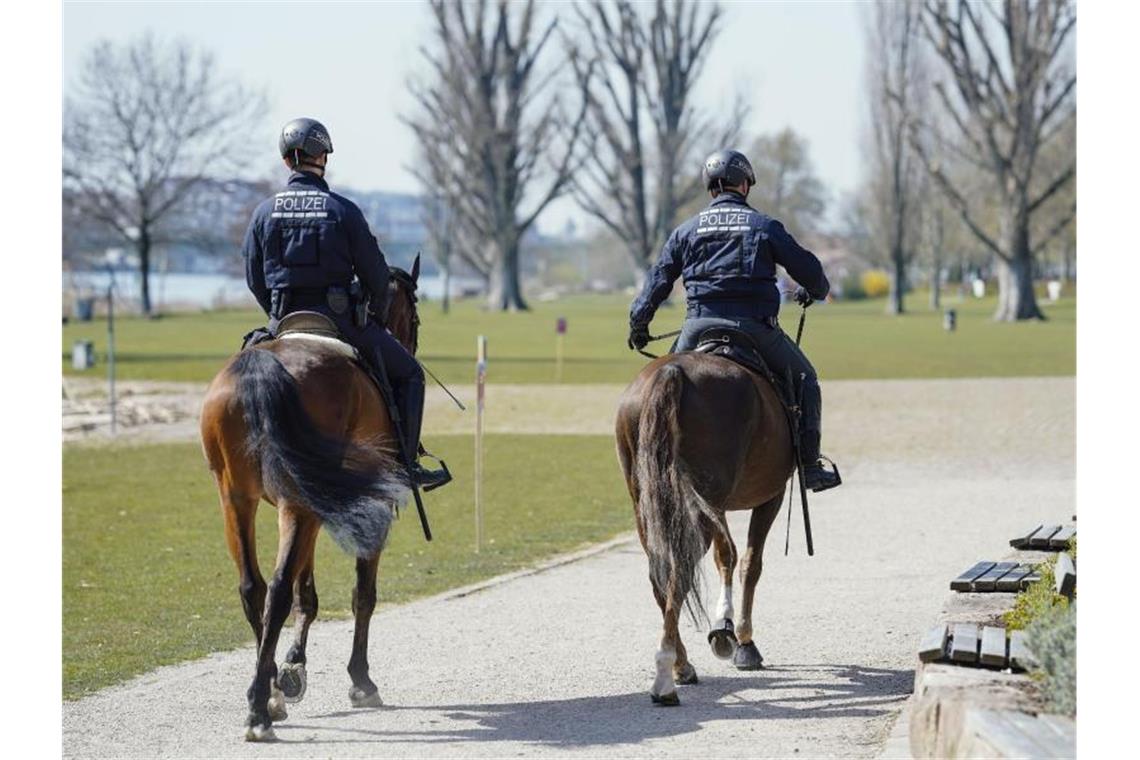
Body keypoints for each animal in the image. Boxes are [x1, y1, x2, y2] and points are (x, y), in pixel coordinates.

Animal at [200, 267, 424, 742]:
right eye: (414, 320)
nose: (410, 341)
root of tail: (260, 371)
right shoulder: (366, 507)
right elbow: (362, 594)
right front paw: (360, 680)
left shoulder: (312, 508)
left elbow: (308, 593)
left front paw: (291, 670)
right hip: (296, 505)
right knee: (278, 589)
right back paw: (260, 708)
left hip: (238, 499)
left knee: (255, 588)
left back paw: (267, 694)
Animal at [615, 350, 793, 706]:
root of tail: (671, 371)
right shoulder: (772, 495)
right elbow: (750, 562)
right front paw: (743, 640)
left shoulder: (717, 506)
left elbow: (726, 556)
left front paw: (724, 629)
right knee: (680, 573)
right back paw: (665, 678)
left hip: (647, 503)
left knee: (660, 575)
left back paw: (681, 666)